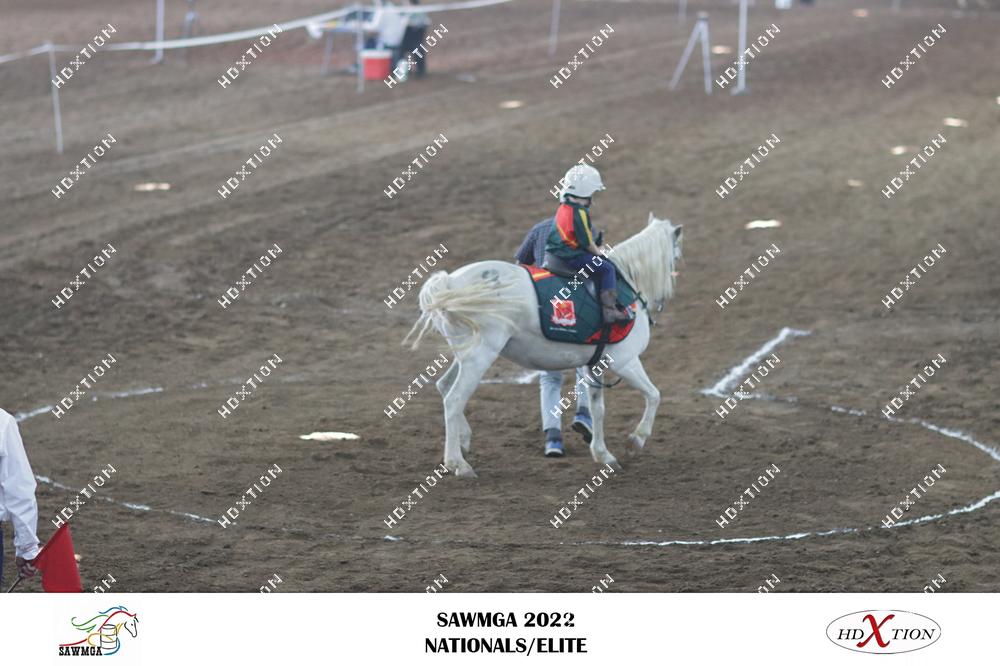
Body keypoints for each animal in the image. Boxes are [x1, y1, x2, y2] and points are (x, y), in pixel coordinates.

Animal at [405, 213, 683, 478]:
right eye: (676, 255)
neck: (628, 284)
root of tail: (449, 282)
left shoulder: (596, 366)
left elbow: (598, 409)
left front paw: (603, 454)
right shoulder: (625, 361)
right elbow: (654, 395)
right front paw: (636, 440)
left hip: (466, 354)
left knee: (444, 387)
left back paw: (464, 440)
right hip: (480, 357)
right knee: (454, 400)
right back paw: (458, 464)